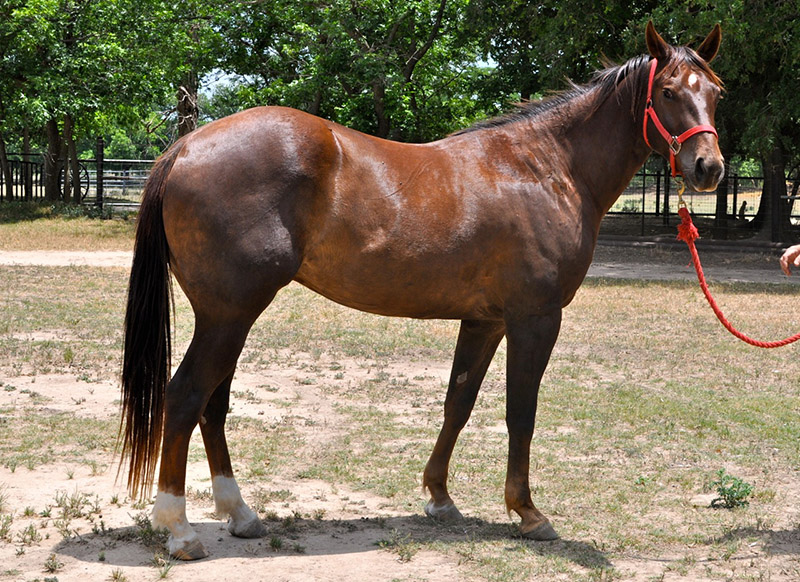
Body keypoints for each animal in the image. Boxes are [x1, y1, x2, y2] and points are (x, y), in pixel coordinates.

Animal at [119, 24, 724, 560]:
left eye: (715, 92)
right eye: (668, 92)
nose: (709, 168)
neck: (545, 167)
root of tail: (185, 147)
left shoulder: (485, 320)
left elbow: (458, 402)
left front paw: (440, 498)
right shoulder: (535, 318)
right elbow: (520, 412)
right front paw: (529, 513)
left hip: (228, 317)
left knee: (212, 405)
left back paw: (241, 514)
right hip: (229, 315)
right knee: (185, 397)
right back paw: (179, 530)